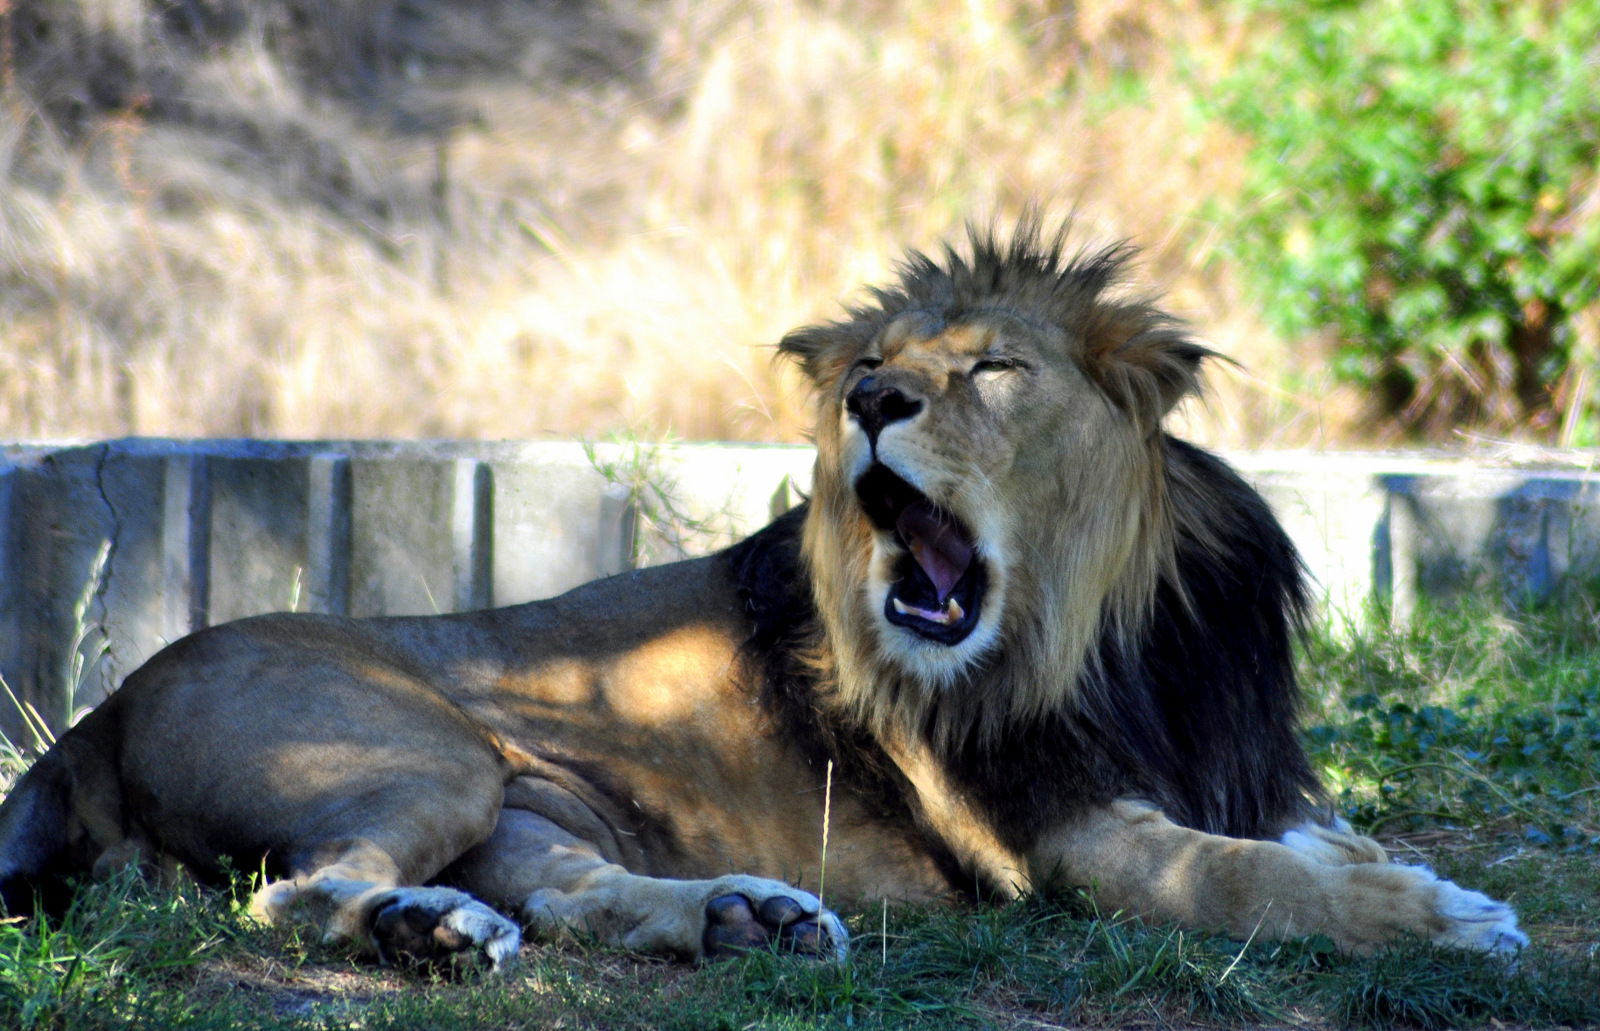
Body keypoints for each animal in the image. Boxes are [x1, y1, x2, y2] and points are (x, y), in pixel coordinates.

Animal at [0, 217, 1523, 966]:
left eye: (995, 367)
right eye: (883, 362)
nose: (871, 400)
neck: (1112, 629)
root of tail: (97, 714)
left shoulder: (1234, 768)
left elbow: (1309, 839)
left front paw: (1395, 871)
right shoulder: (1060, 837)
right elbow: (1234, 874)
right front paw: (1442, 920)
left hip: (526, 801)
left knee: (570, 895)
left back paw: (740, 918)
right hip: (428, 750)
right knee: (298, 893)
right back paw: (427, 931)